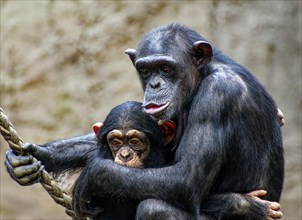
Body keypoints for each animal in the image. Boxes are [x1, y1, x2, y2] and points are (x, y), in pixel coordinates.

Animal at [71, 23, 286, 219]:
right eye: (145, 70)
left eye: (166, 68)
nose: (154, 84)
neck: (203, 74)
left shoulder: (217, 95)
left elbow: (186, 179)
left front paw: (92, 174)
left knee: (154, 208)